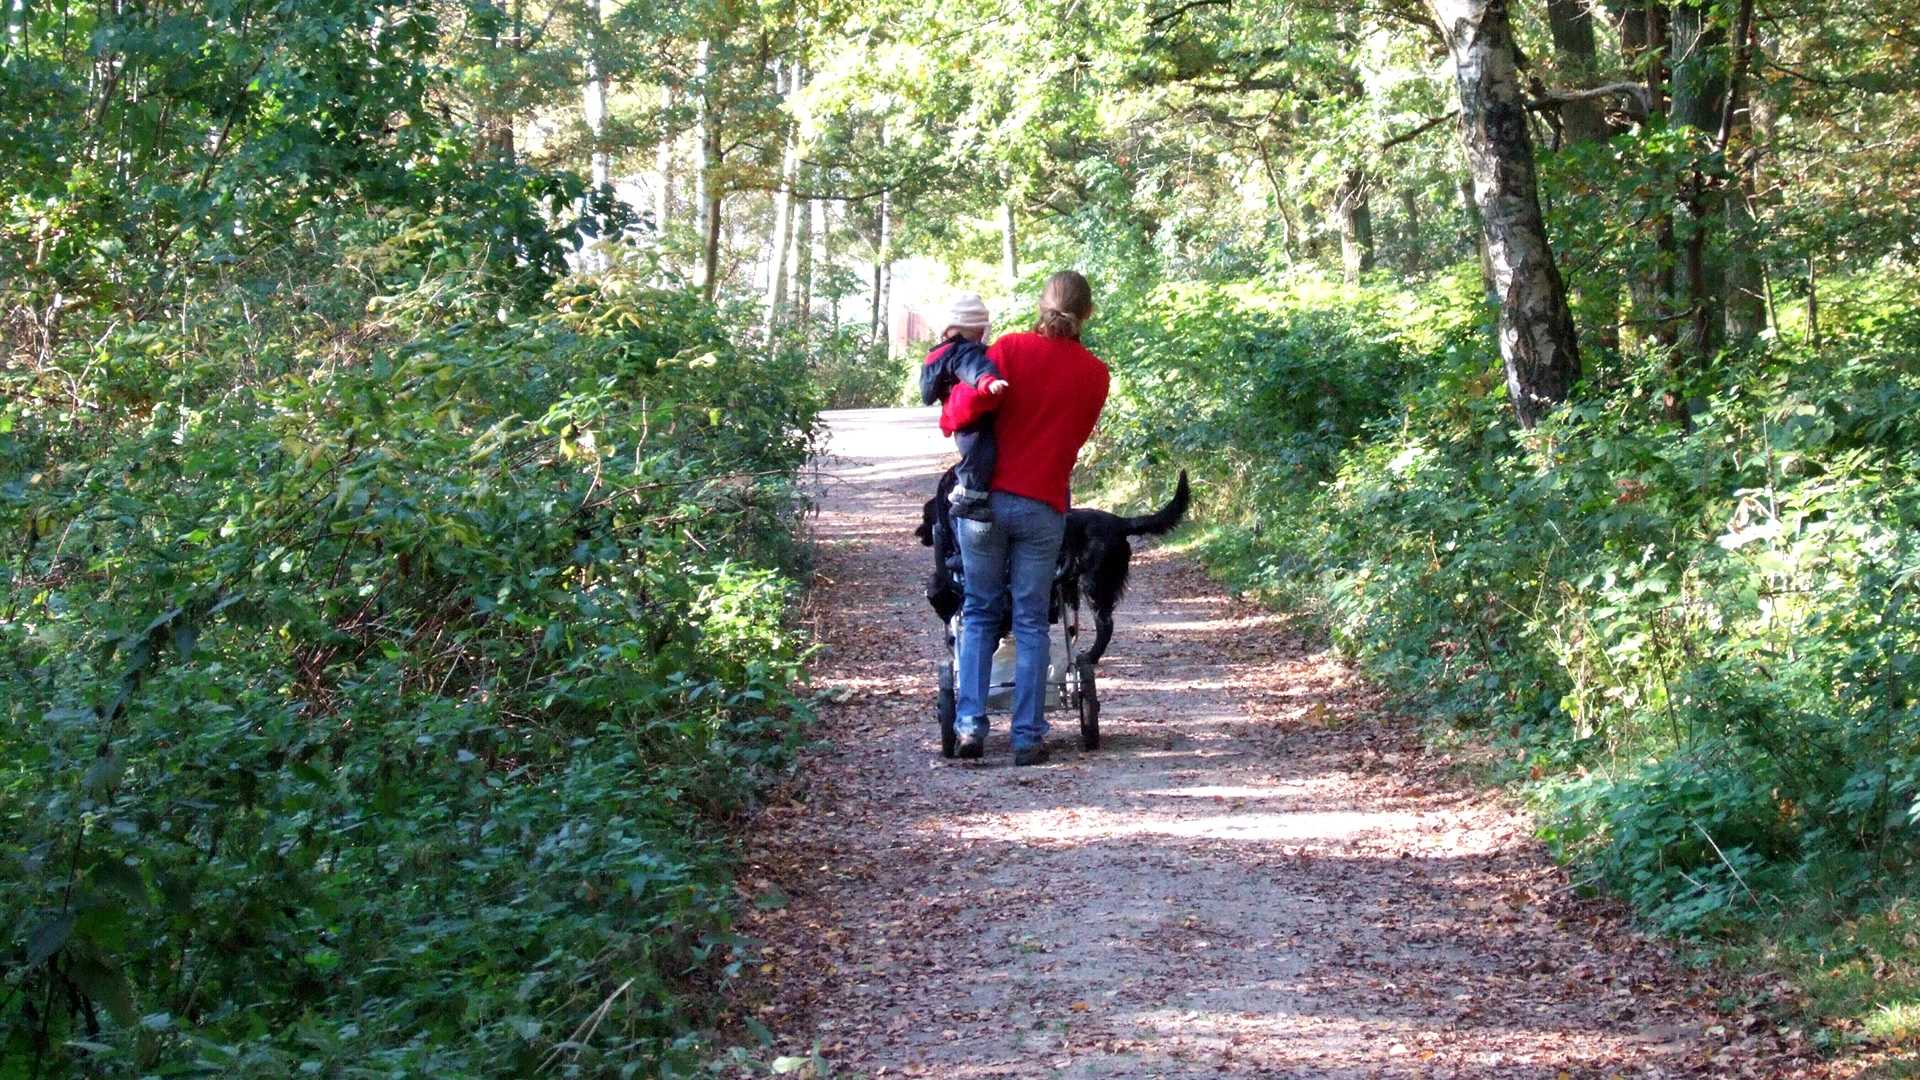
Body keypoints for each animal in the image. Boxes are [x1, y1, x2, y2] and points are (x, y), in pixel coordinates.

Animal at [910, 466, 1182, 661]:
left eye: (925, 516)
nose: (918, 532)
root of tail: (1119, 522)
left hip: (1094, 584)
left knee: (1105, 624)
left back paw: (1091, 657)